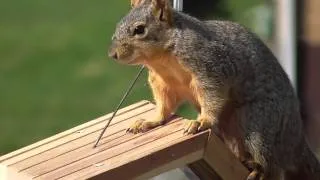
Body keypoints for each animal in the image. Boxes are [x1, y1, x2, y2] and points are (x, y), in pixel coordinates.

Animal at [108, 0, 320, 179]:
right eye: (118, 26)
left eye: (139, 29)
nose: (112, 54)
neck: (162, 60)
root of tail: (296, 140)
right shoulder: (163, 84)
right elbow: (164, 106)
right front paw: (150, 121)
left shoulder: (210, 67)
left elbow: (213, 96)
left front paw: (201, 121)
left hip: (259, 122)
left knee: (271, 164)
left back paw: (259, 170)